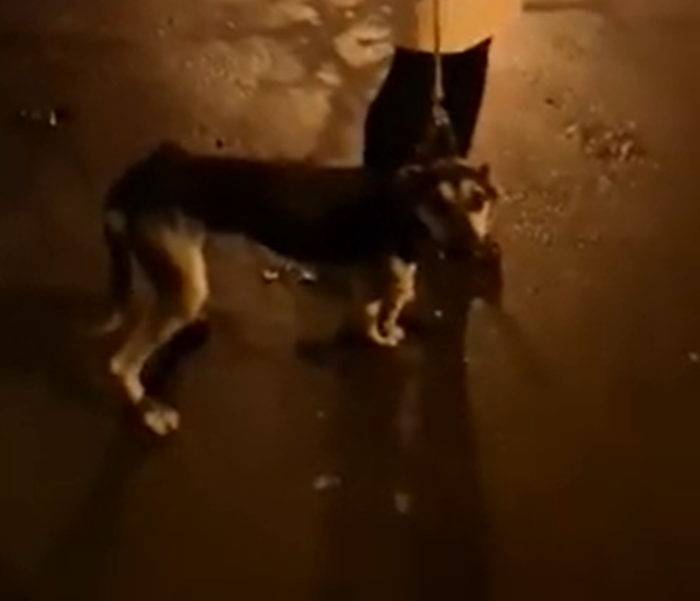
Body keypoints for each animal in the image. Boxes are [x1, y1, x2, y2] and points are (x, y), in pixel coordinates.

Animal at [96, 142, 499, 435]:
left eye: (478, 200)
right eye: (437, 203)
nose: (470, 249)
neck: (405, 204)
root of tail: (146, 171)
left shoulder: (371, 281)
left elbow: (377, 310)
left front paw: (387, 328)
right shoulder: (383, 278)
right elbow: (380, 315)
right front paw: (384, 336)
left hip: (183, 275)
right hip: (182, 286)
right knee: (121, 362)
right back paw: (149, 409)